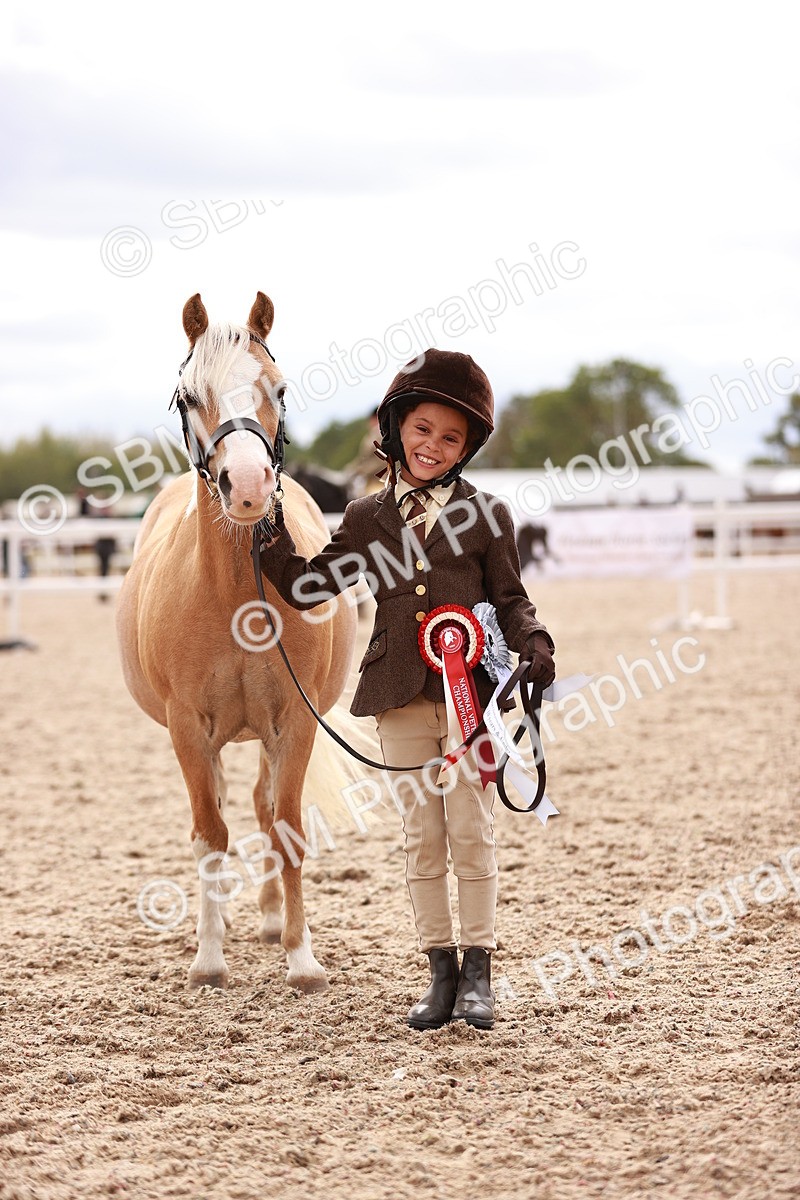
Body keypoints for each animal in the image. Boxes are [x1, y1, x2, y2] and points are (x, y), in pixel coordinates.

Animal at [116, 291, 360, 993]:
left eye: (278, 388)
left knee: (260, 806)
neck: (234, 597)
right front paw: (208, 958)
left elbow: (286, 830)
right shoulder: (187, 728)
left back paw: (273, 921)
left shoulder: (296, 724)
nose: (248, 487)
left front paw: (302, 959)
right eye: (186, 396)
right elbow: (209, 833)